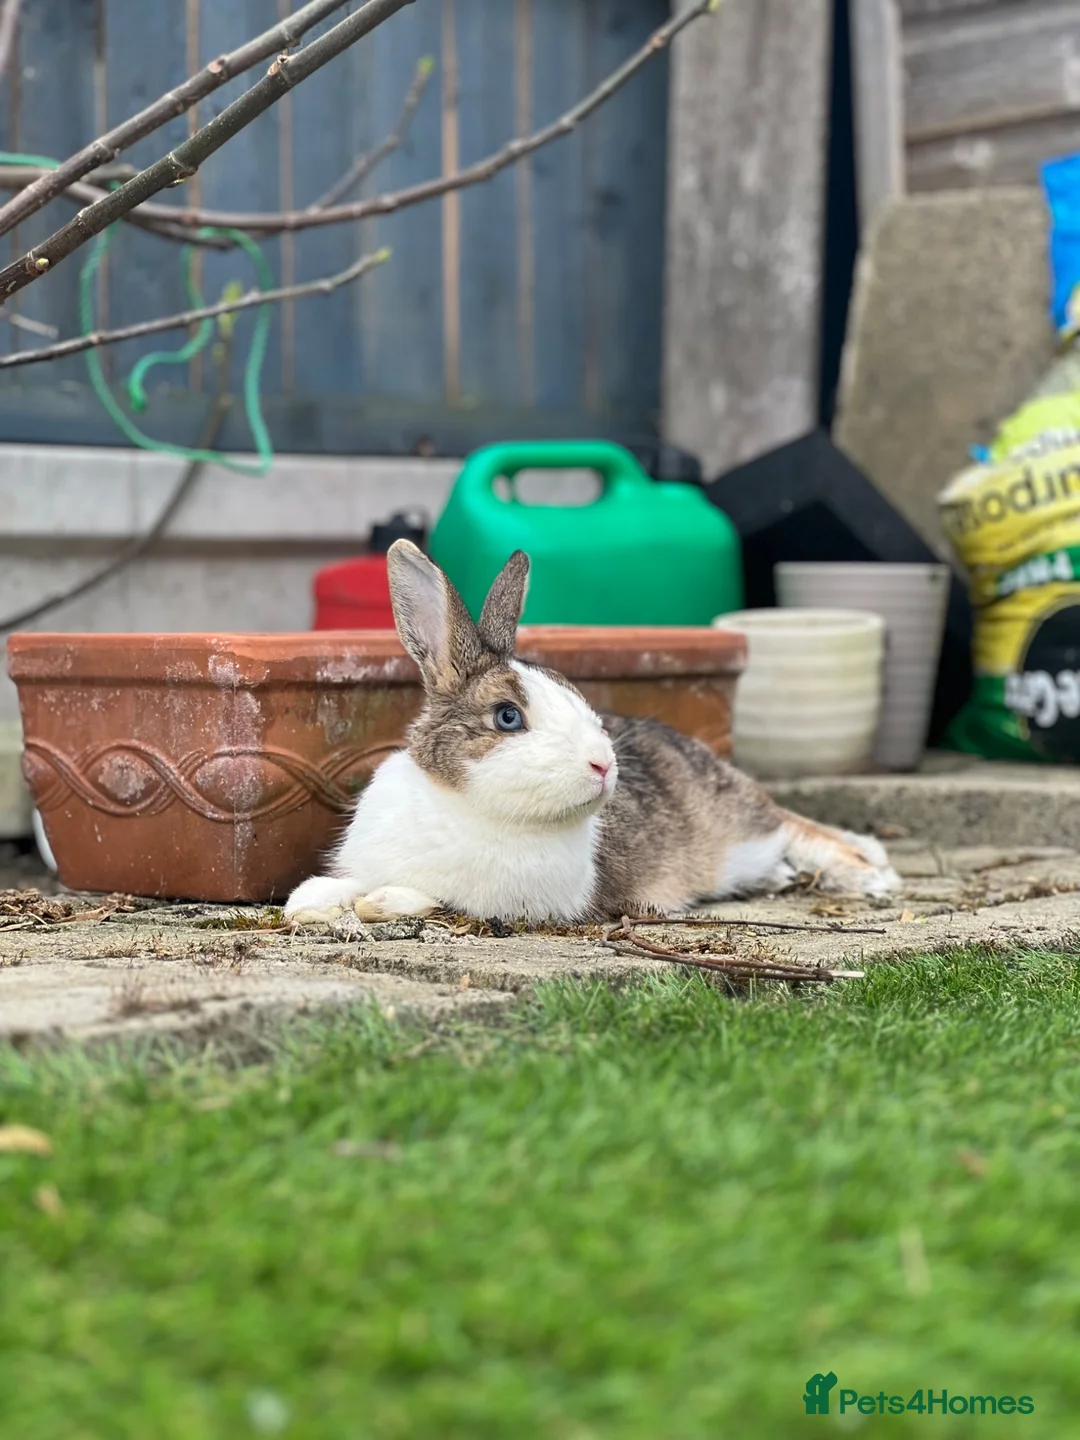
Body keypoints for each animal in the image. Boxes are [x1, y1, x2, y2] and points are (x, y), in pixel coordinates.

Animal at [284, 541, 900, 926]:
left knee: (799, 828)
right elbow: (332, 890)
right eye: (508, 717)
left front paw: (382, 901)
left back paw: (874, 875)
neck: (467, 806)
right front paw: (310, 902)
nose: (604, 764)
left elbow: (423, 897)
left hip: (746, 828)